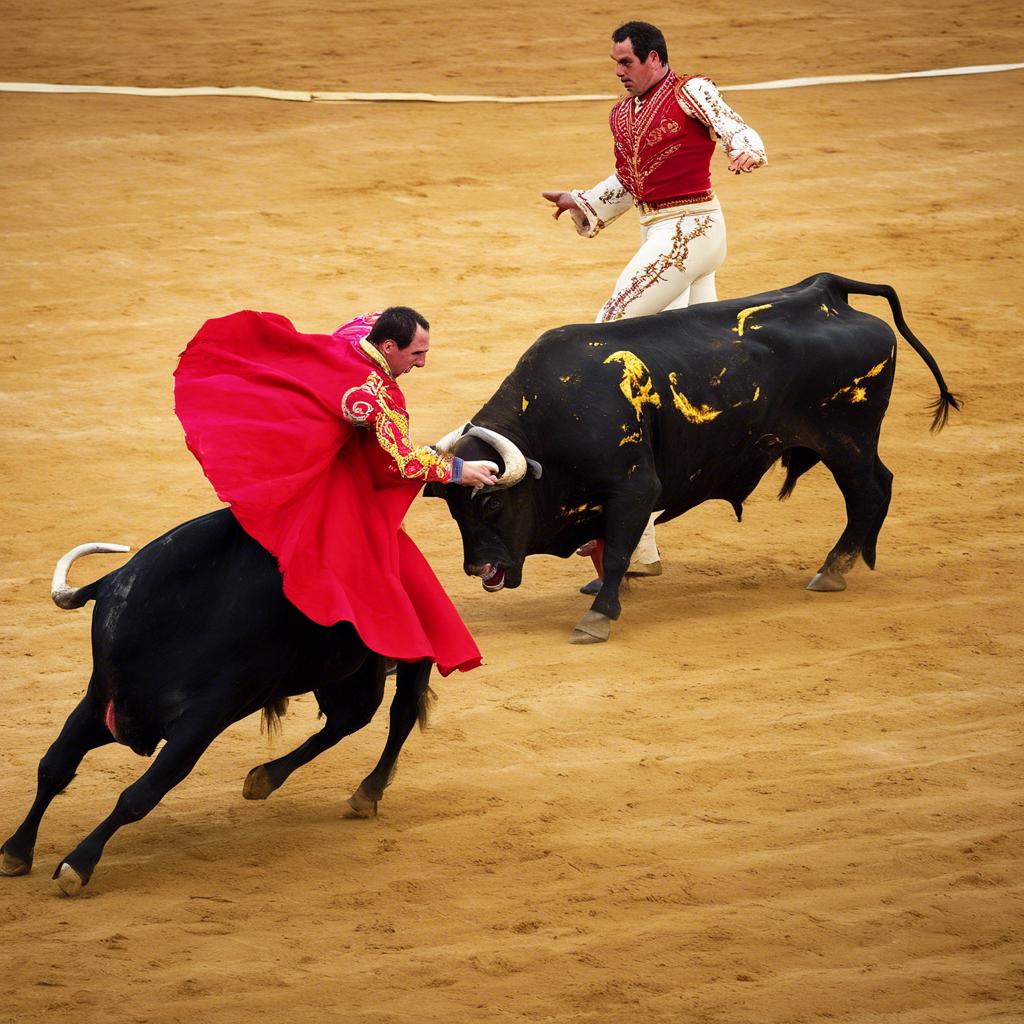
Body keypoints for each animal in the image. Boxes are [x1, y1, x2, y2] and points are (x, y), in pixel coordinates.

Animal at [0, 512, 434, 897]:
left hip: (406, 661)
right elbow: (53, 767)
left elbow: (140, 794)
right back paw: (265, 778)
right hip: (342, 674)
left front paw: (77, 865)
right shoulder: (98, 703)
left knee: (398, 713)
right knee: (347, 719)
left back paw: (366, 792)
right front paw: (15, 852)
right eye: (106, 624)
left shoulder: (200, 724)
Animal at [430, 272, 958, 638]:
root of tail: (827, 292)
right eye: (454, 510)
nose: (477, 569)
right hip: (849, 442)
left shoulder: (634, 486)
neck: (550, 414)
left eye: (493, 502)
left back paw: (833, 569)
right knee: (879, 486)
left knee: (869, 492)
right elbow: (607, 547)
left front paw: (598, 615)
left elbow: (616, 550)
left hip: (847, 440)